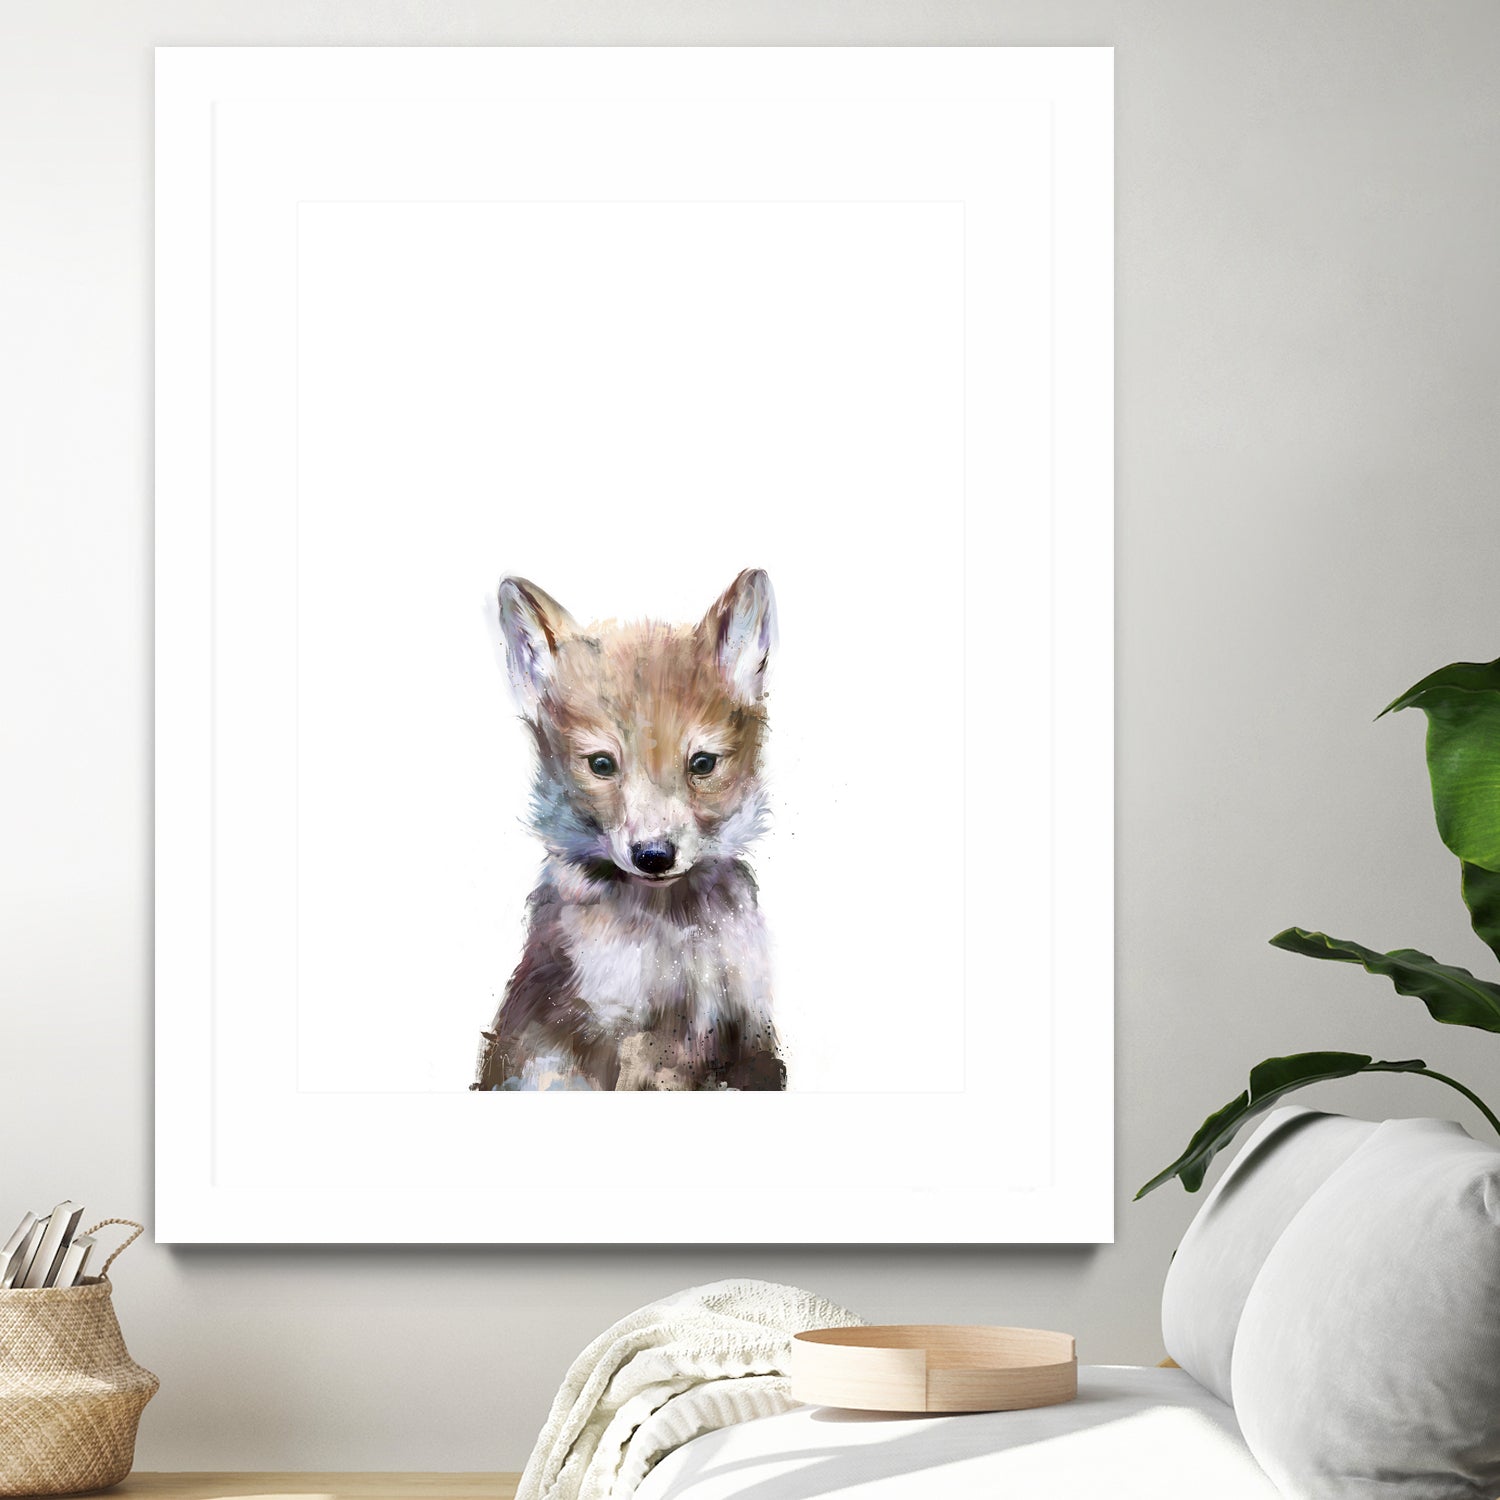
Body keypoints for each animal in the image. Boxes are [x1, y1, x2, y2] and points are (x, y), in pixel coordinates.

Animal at [473, 569, 786, 1092]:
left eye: (702, 764)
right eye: (602, 764)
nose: (654, 856)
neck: (673, 938)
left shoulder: (746, 1031)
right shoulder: (616, 1035)